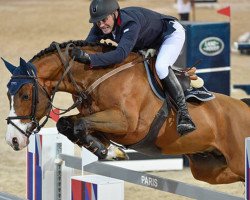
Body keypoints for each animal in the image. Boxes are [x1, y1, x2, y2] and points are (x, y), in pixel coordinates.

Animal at [3, 39, 250, 184]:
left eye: (25, 96)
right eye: (8, 95)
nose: (12, 140)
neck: (97, 76)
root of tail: (244, 106)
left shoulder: (129, 125)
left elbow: (80, 125)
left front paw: (110, 151)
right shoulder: (94, 117)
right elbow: (69, 124)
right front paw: (109, 150)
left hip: (236, 159)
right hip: (208, 167)